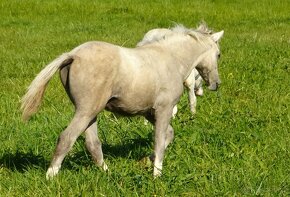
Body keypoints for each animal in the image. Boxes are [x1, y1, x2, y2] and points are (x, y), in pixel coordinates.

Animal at [21, 23, 224, 179]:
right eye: (219, 54)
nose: (216, 84)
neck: (171, 59)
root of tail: (73, 55)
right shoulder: (164, 109)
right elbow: (159, 141)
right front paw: (156, 174)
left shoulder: (149, 112)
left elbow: (169, 135)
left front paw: (147, 160)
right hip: (86, 111)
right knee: (67, 138)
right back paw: (51, 177)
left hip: (90, 113)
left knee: (92, 144)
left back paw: (107, 174)